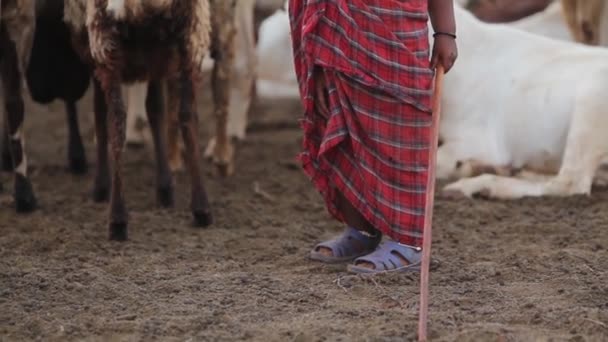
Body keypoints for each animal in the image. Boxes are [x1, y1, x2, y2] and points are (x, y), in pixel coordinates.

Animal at [64, 0, 214, 240]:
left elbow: (102, 117)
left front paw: (101, 187)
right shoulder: (156, 58)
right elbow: (156, 110)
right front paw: (165, 187)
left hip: (104, 36)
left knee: (116, 118)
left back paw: (117, 218)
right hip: (192, 33)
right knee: (187, 115)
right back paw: (202, 208)